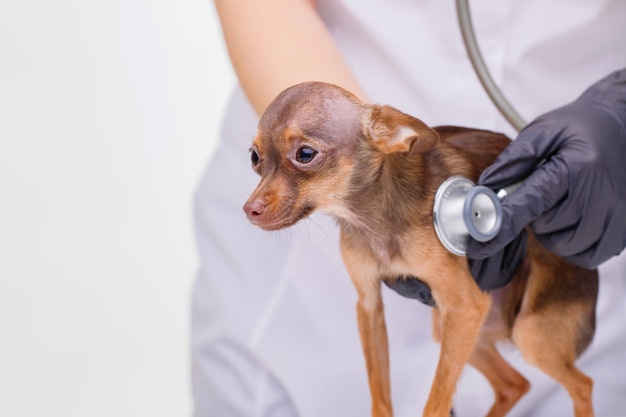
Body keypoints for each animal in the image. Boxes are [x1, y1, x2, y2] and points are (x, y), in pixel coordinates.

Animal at [241, 81, 596, 416]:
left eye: (305, 154)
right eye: (254, 158)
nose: (249, 209)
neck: (376, 216)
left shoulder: (465, 306)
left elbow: (435, 403)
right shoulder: (371, 306)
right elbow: (380, 394)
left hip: (528, 332)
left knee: (582, 385)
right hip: (460, 328)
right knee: (514, 384)